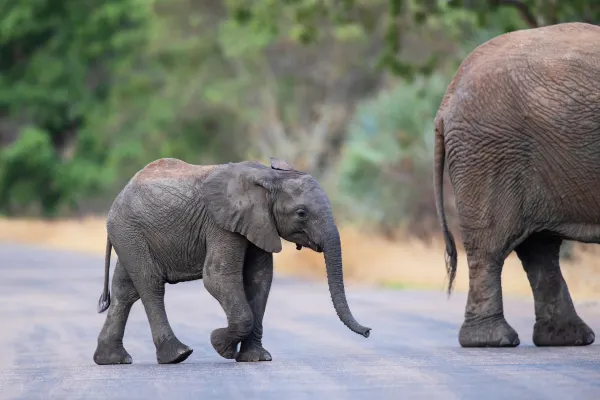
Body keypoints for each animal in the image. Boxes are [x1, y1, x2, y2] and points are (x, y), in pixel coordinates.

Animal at [92, 156, 370, 366]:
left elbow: (259, 280)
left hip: (129, 235)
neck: (269, 178)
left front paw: (256, 359)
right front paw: (219, 344)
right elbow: (217, 277)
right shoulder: (221, 223)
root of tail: (120, 195)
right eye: (301, 213)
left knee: (125, 290)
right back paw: (177, 355)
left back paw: (113, 360)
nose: (368, 331)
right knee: (150, 284)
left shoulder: (259, 223)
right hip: (129, 230)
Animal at [434, 22, 600, 346]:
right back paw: (493, 340)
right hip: (491, 152)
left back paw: (568, 338)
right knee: (492, 245)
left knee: (540, 246)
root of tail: (448, 98)